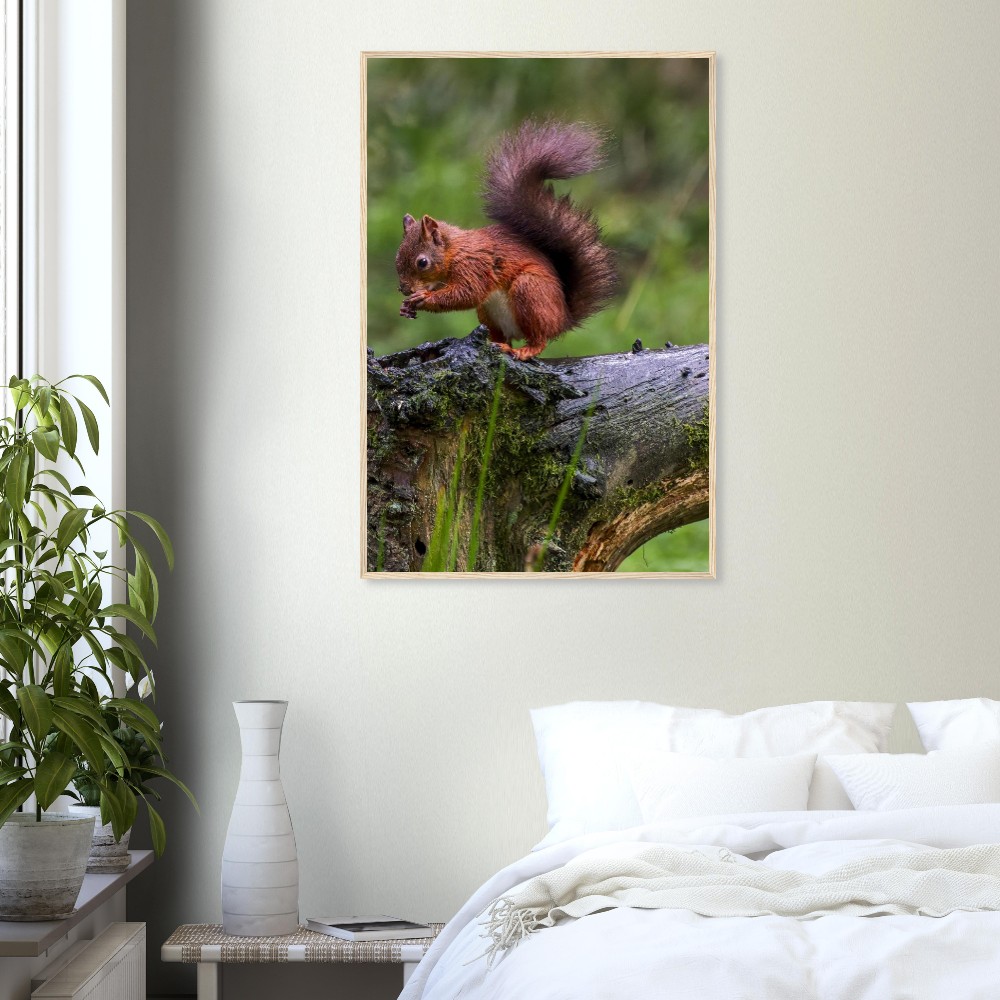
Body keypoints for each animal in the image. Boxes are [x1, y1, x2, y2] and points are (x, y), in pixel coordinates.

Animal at [395, 120, 617, 361]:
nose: (404, 289)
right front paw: (406, 307)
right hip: (488, 312)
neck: (454, 251)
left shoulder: (475, 265)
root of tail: (563, 319)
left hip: (530, 292)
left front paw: (423, 297)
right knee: (501, 335)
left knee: (539, 338)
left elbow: (467, 293)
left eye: (422, 262)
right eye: (396, 258)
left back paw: (525, 349)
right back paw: (496, 344)